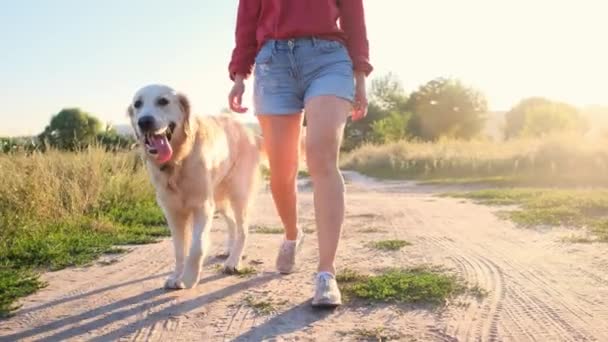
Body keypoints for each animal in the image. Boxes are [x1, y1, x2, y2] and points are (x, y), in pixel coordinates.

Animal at [128, 85, 262, 288]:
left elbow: (197, 247)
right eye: (137, 104)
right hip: (219, 198)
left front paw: (189, 278)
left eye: (163, 101)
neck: (178, 161)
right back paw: (229, 251)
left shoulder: (202, 206)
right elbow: (179, 250)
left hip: (238, 194)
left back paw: (233, 261)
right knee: (232, 223)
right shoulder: (173, 212)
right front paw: (177, 276)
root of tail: (248, 131)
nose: (144, 122)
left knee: (243, 229)